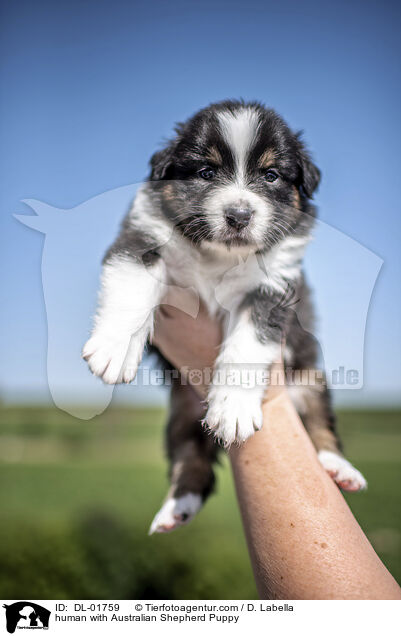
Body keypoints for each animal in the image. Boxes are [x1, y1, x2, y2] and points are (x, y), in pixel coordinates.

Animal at [83, 102, 366, 536]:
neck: (217, 256)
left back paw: (340, 470)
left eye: (271, 175)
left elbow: (246, 347)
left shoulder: (270, 288)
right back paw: (176, 509)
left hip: (310, 380)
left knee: (321, 427)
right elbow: (130, 288)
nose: (239, 215)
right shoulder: (141, 240)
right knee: (192, 458)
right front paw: (114, 351)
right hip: (181, 412)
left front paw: (232, 409)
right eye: (206, 173)